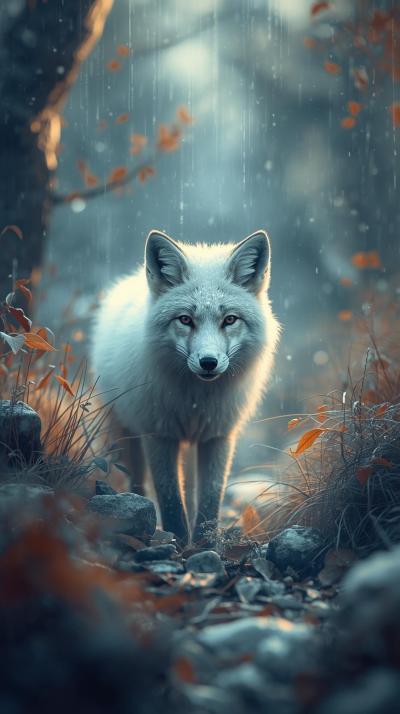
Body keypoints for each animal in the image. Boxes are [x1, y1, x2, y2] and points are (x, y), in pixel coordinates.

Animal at [91, 229, 281, 546]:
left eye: (229, 320)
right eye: (185, 320)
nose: (208, 362)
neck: (195, 401)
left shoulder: (217, 435)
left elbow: (209, 500)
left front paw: (204, 545)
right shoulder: (158, 433)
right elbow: (170, 500)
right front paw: (177, 542)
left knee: (190, 491)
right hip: (126, 431)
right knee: (139, 481)